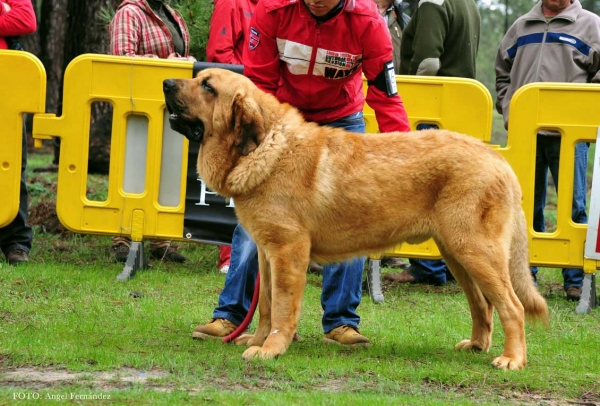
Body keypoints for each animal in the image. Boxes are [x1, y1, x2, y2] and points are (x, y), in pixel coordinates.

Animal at [164, 68, 548, 370]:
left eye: (208, 86)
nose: (167, 82)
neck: (264, 147)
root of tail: (496, 157)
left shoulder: (287, 252)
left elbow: (283, 309)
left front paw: (271, 349)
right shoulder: (266, 253)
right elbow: (267, 307)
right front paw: (257, 341)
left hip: (475, 252)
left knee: (512, 306)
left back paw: (512, 359)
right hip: (458, 255)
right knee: (482, 304)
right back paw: (476, 345)